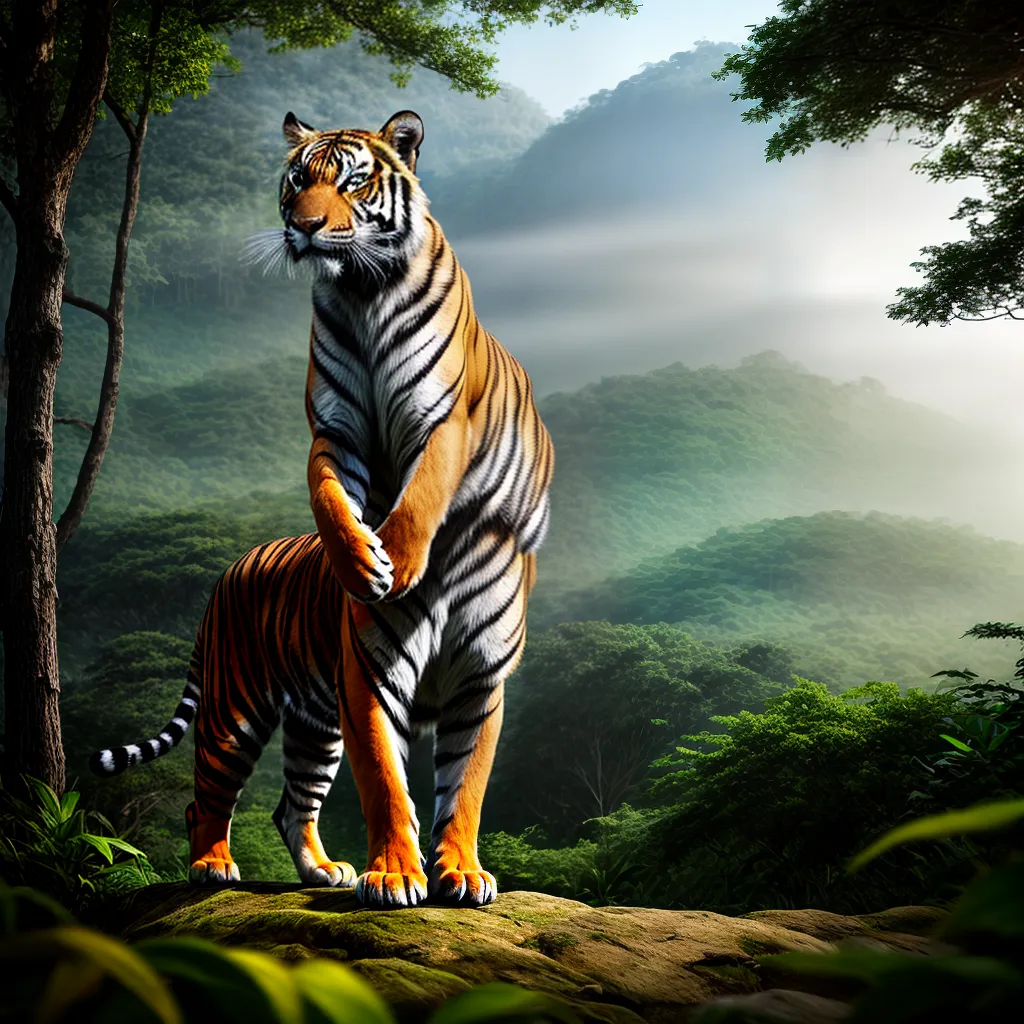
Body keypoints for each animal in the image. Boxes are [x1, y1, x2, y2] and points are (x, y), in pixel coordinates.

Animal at [93, 111, 554, 909]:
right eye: (296, 180)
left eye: (353, 182)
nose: (304, 228)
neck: (364, 293)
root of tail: (232, 567)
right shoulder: (335, 438)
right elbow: (386, 780)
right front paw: (395, 875)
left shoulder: (478, 678)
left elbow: (464, 786)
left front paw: (460, 873)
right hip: (235, 709)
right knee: (205, 795)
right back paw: (211, 865)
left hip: (312, 722)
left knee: (291, 802)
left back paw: (322, 871)